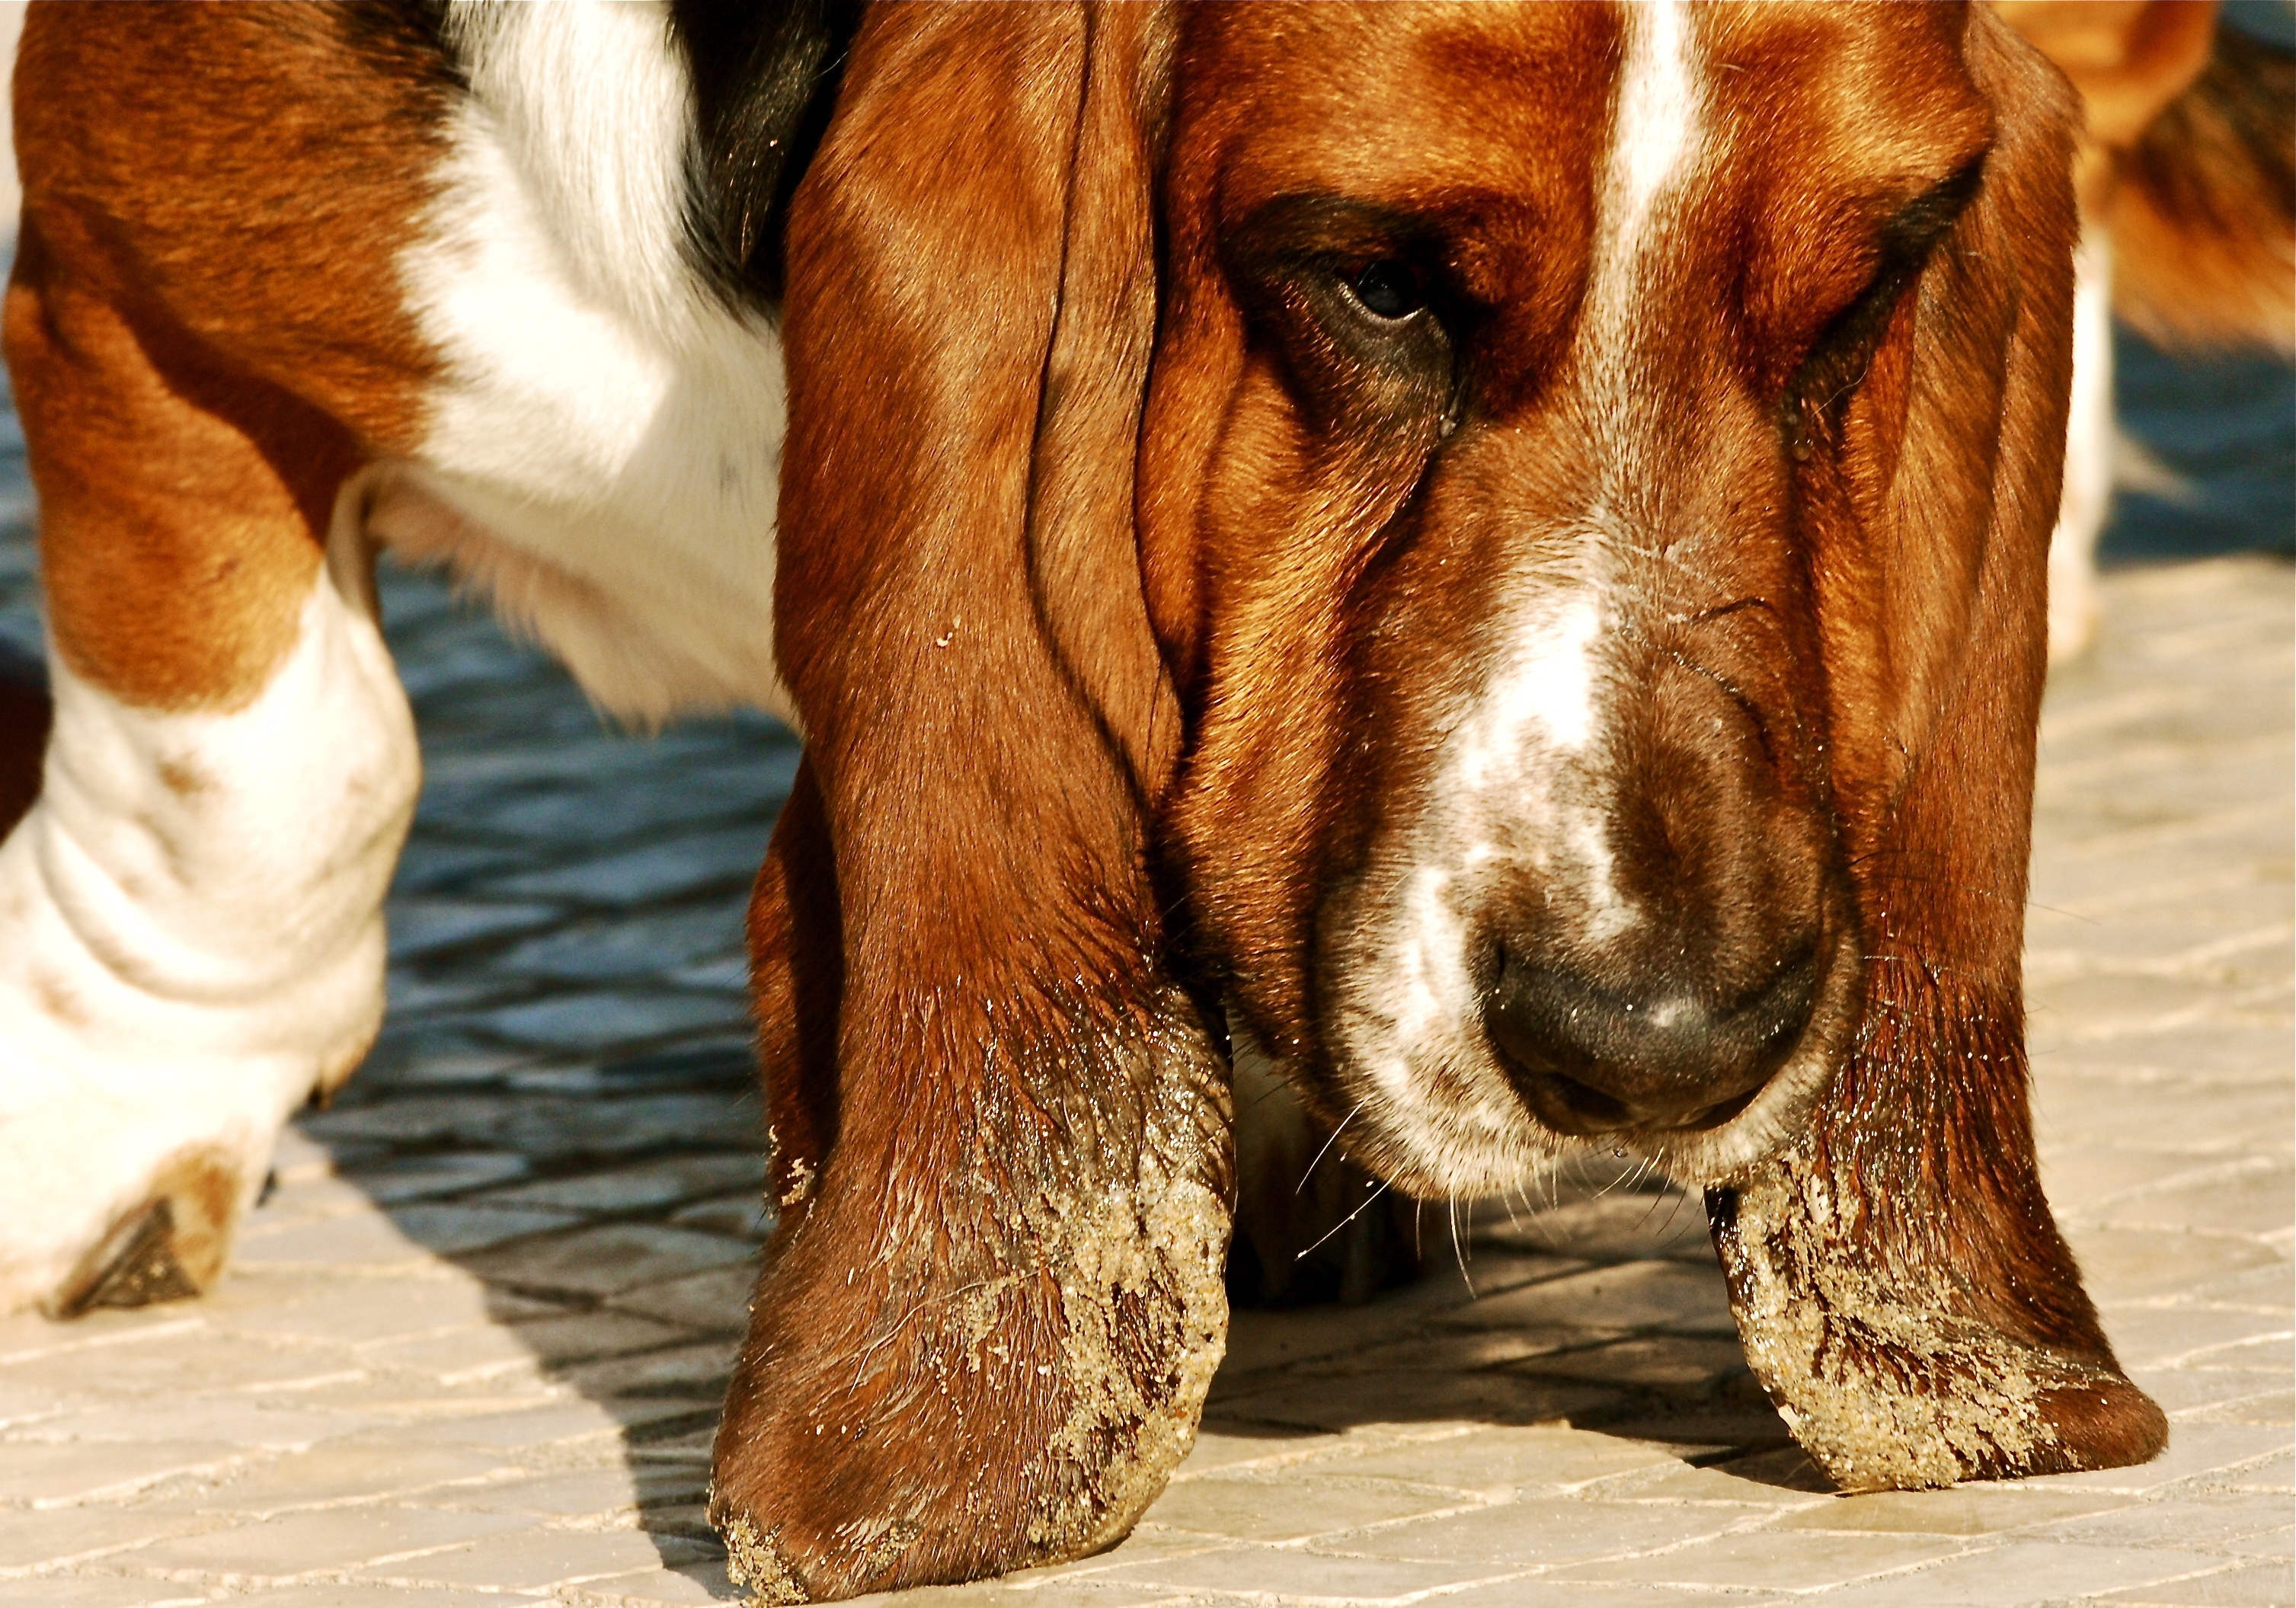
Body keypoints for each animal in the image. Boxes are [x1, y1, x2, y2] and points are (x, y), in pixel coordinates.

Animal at [0, 6, 2204, 1598]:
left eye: (1862, 295)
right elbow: (267, 764)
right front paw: (99, 1129)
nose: (1658, 1043)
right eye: (1374, 285)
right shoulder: (123, 296)